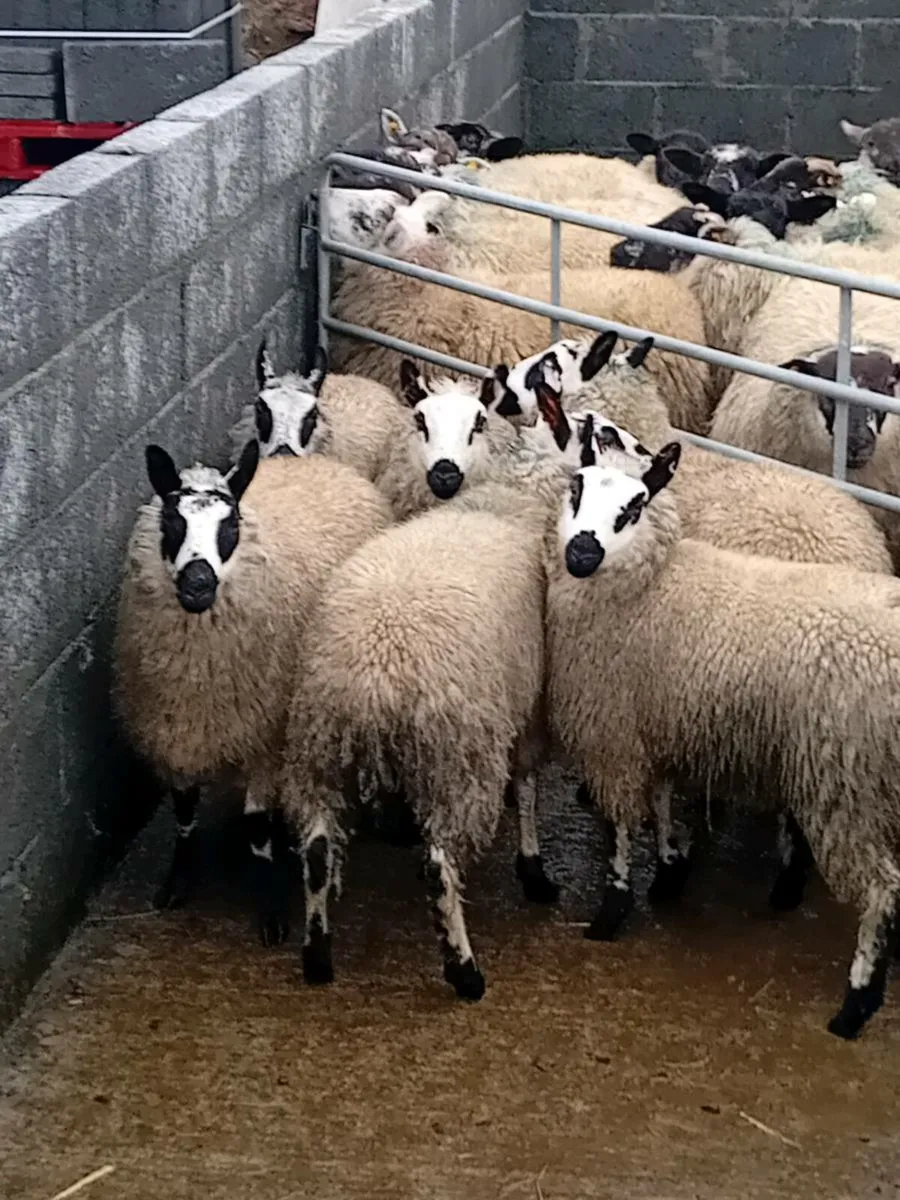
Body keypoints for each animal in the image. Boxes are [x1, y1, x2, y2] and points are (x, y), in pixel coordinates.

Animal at [113, 442, 392, 945]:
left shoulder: (266, 739)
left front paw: (271, 910)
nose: (198, 585)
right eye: (172, 522)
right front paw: (177, 881)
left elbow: (258, 829)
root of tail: (313, 461)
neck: (198, 674)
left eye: (231, 526)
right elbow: (184, 813)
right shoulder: (174, 729)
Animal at [281, 429, 570, 999]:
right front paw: (533, 870)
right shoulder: (527, 707)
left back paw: (318, 954)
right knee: (440, 866)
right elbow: (527, 786)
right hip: (458, 758)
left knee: (318, 849)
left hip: (319, 745)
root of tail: (377, 671)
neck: (507, 503)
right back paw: (464, 970)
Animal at [545, 435, 900, 1039]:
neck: (653, 582)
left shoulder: (614, 731)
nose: (581, 555)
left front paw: (611, 911)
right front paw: (669, 871)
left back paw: (855, 1002)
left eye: (633, 508)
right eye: (577, 488)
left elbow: (620, 827)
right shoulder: (659, 719)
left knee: (882, 891)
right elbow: (664, 801)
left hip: (847, 786)